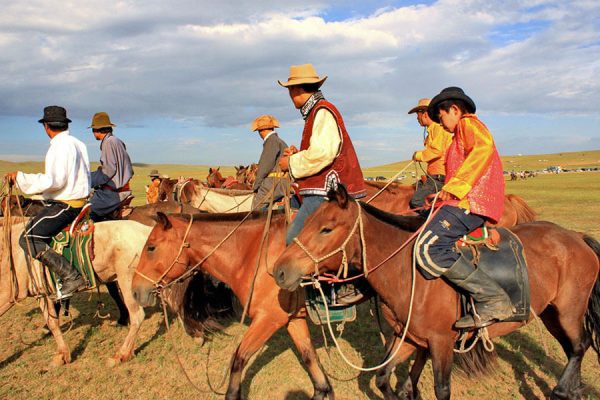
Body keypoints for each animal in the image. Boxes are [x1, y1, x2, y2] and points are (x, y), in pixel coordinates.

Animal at [131, 211, 332, 398]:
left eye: (151, 247)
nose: (135, 291)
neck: (254, 253)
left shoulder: (268, 319)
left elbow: (238, 359)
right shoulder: (293, 318)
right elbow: (309, 356)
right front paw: (323, 389)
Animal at [274, 187, 600, 400]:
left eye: (326, 229)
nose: (279, 270)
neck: (408, 273)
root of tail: (575, 236)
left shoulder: (441, 343)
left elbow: (441, 389)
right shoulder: (409, 338)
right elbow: (383, 378)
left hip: (569, 311)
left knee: (580, 345)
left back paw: (561, 391)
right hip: (550, 314)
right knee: (573, 348)